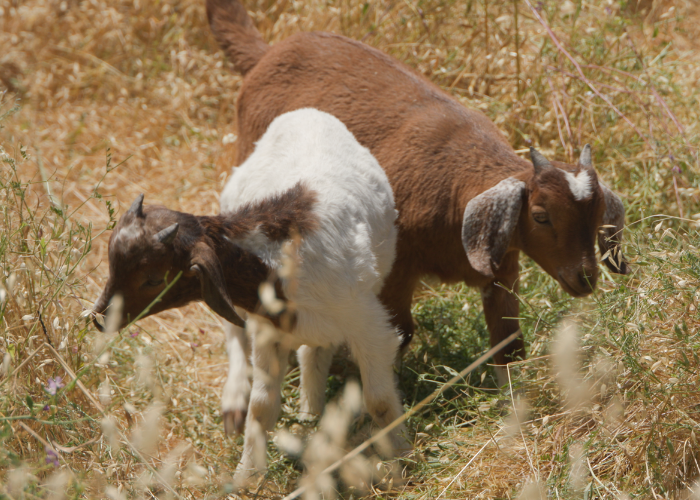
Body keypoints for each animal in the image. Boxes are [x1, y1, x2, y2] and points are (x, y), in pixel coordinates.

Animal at [92, 108, 406, 482]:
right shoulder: (266, 328)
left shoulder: (368, 325)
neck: (276, 258)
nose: (99, 318)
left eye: (153, 279)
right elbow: (261, 405)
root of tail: (306, 112)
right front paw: (246, 473)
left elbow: (379, 399)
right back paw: (241, 404)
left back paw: (310, 414)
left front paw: (400, 457)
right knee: (237, 338)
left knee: (314, 351)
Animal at [206, 0, 628, 392]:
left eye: (597, 218)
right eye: (541, 216)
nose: (585, 278)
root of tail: (267, 54)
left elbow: (508, 346)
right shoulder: (395, 269)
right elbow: (399, 332)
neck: (458, 190)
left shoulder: (501, 264)